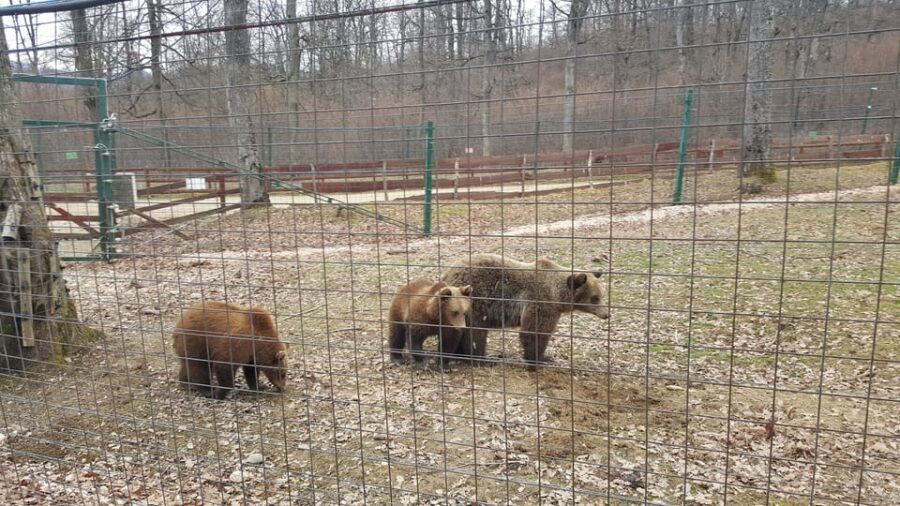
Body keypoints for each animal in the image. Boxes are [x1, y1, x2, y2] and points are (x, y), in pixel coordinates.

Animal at [440, 254, 609, 369]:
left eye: (602, 295)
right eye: (594, 298)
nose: (607, 314)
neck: (558, 295)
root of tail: (446, 274)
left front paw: (545, 358)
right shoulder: (541, 303)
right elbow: (534, 332)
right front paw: (539, 359)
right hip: (474, 303)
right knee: (476, 333)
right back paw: (481, 359)